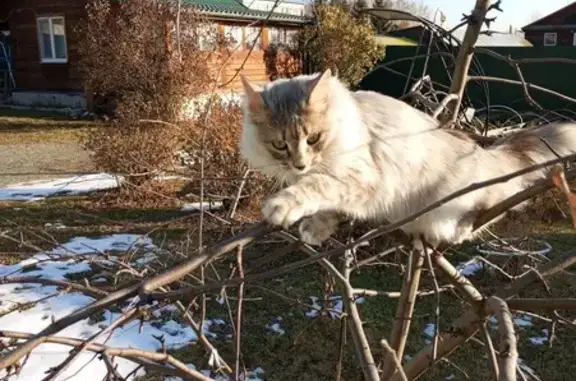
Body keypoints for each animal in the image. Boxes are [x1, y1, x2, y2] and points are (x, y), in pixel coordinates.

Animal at [237, 68, 576, 246]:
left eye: (313, 139)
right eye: (280, 145)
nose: (300, 165)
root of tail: (484, 152)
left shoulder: (360, 175)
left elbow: (317, 188)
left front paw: (283, 207)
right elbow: (330, 207)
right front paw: (316, 228)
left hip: (464, 195)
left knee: (500, 202)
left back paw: (466, 224)